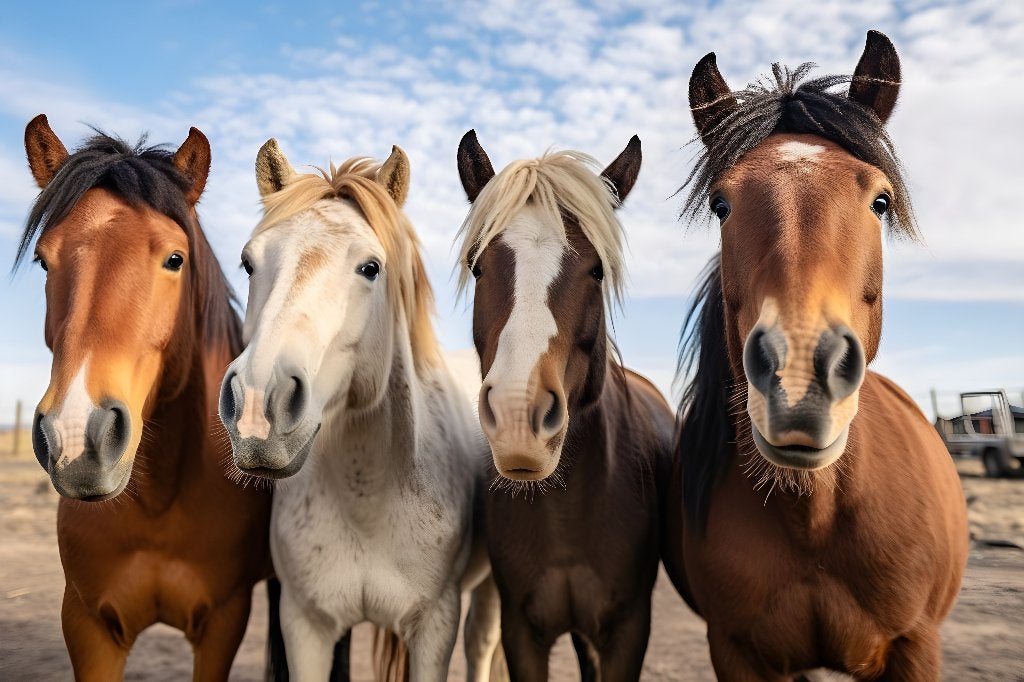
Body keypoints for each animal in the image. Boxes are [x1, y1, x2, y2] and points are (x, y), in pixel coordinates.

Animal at [16, 116, 290, 680]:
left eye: (174, 259)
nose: (77, 437)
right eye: (43, 260)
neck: (161, 502)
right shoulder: (88, 626)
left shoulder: (223, 624)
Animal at [217, 140, 503, 681]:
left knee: (482, 643)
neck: (368, 498)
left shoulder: (435, 628)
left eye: (370, 267)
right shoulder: (305, 626)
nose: (258, 407)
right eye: (247, 263)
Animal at [662, 31, 969, 679]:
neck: (815, 521)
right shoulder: (737, 651)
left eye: (880, 201)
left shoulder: (917, 645)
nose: (800, 383)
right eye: (722, 204)